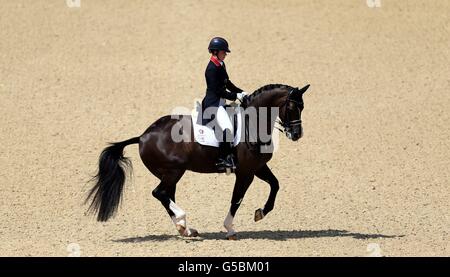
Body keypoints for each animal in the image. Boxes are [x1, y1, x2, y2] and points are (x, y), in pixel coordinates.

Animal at [87, 83, 310, 238]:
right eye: (292, 107)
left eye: (303, 107)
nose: (297, 134)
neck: (253, 123)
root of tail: (143, 136)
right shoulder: (245, 172)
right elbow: (236, 199)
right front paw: (230, 228)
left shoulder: (258, 167)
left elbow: (275, 185)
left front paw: (260, 213)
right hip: (173, 171)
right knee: (159, 193)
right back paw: (183, 219)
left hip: (170, 174)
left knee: (166, 196)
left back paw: (184, 229)